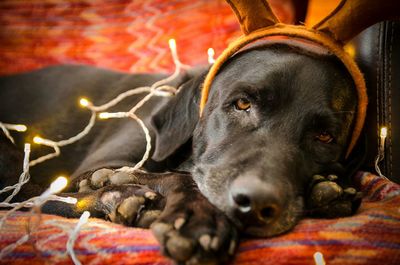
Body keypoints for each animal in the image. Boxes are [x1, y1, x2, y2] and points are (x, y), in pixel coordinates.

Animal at [0, 40, 362, 262]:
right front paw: (198, 218)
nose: (256, 203)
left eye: (325, 136)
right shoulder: (99, 164)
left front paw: (326, 190)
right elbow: (178, 177)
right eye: (242, 103)